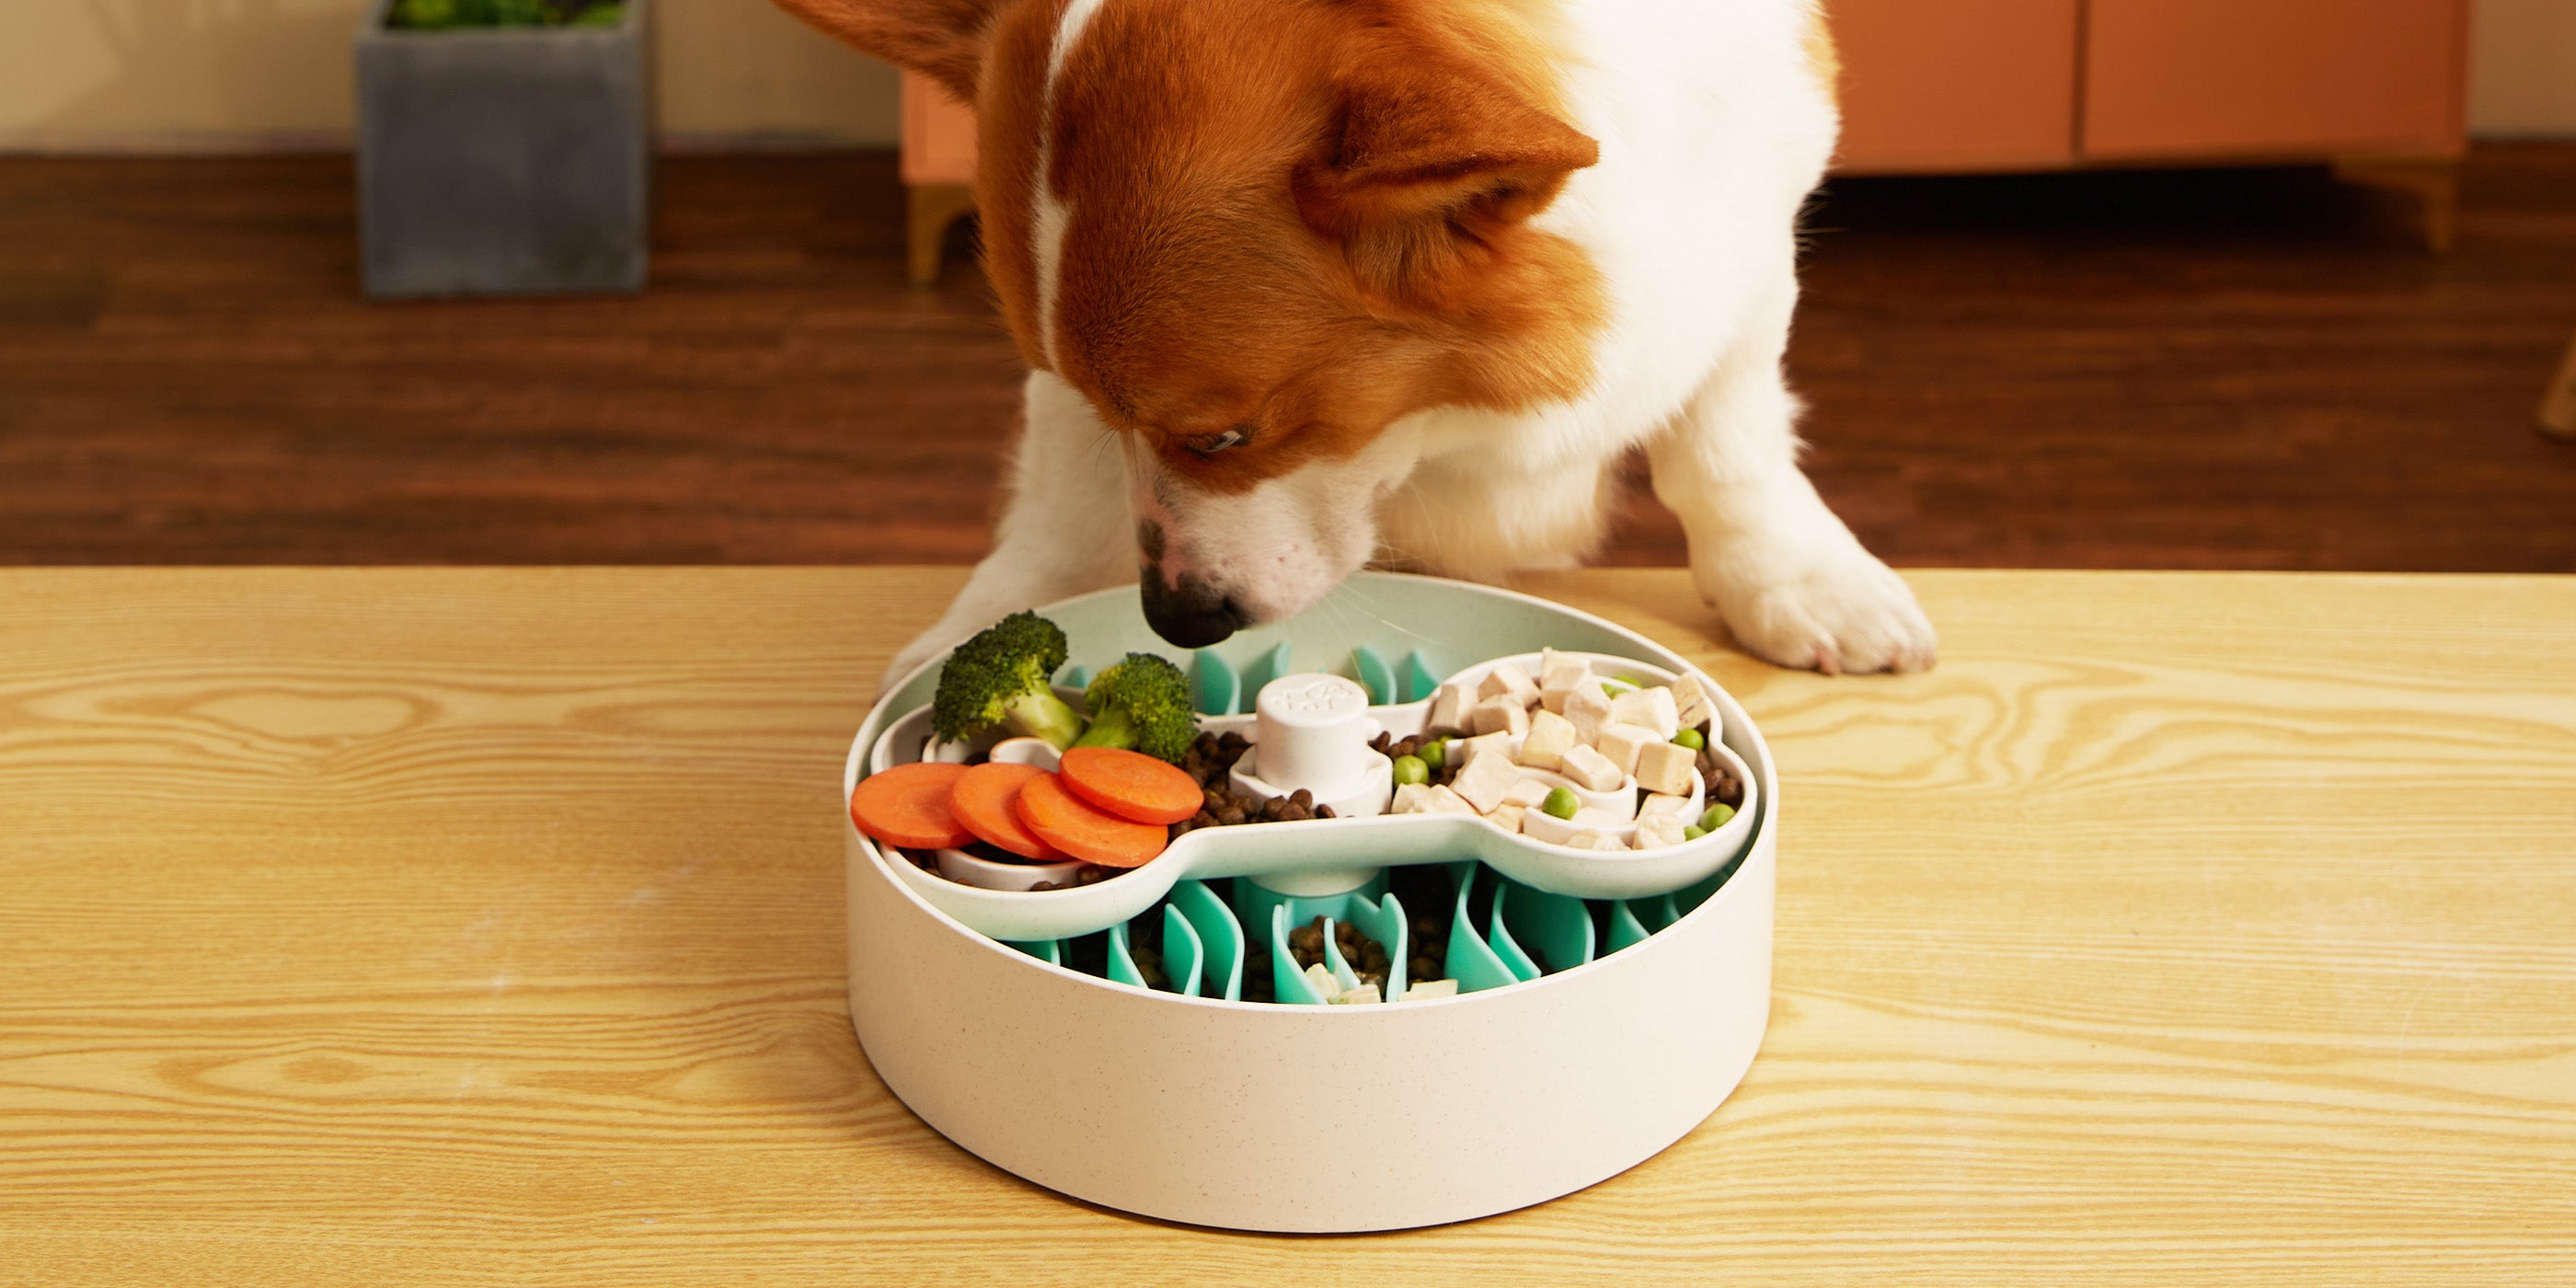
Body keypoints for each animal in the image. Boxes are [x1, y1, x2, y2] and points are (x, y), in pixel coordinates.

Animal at [773, 0, 1937, 684]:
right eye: (1118, 414)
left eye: (1227, 437)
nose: (1179, 619)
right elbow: (1060, 501)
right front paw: (982, 628)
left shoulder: (1747, 253)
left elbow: (1729, 446)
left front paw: (1795, 580)